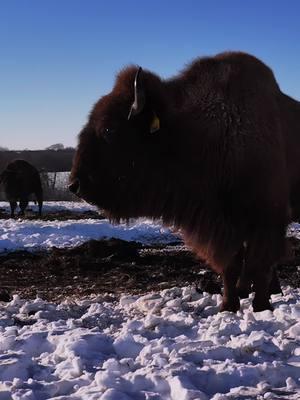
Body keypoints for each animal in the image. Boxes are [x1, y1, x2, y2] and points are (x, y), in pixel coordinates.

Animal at [68, 50, 300, 312]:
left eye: (109, 130)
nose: (74, 185)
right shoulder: (223, 226)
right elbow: (231, 265)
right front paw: (228, 306)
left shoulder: (266, 219)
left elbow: (260, 263)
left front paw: (260, 306)